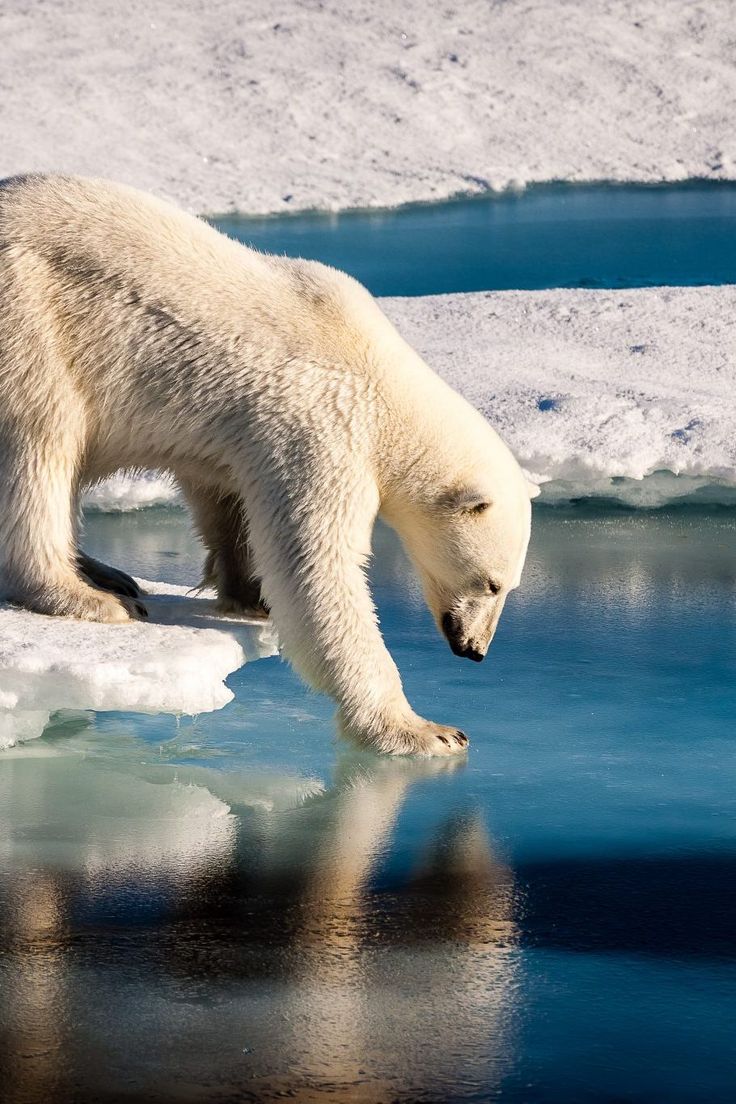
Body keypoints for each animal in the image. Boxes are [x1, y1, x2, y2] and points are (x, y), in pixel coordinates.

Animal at [0, 174, 536, 759]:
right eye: (492, 584)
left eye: (508, 585)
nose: (475, 650)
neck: (383, 383)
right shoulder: (322, 424)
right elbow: (316, 569)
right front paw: (424, 730)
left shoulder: (241, 432)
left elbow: (226, 498)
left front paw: (248, 594)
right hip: (31, 321)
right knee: (39, 444)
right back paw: (90, 596)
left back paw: (106, 573)